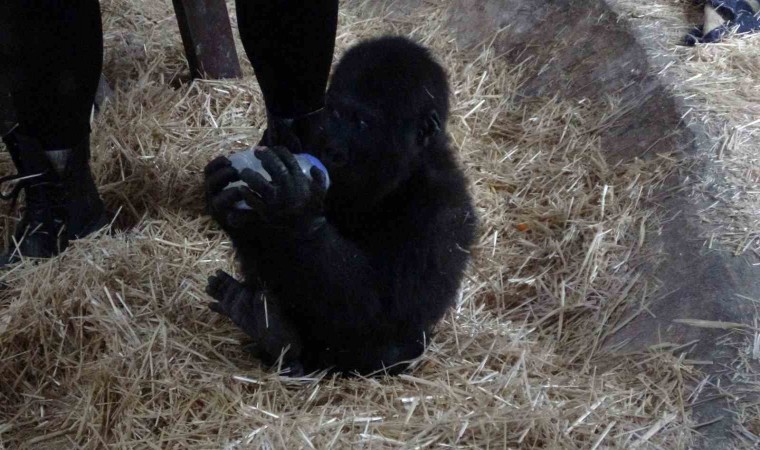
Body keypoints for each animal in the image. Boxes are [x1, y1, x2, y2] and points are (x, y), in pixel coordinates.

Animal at [202, 35, 476, 374]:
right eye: (334, 113)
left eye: (361, 122)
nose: (333, 143)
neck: (403, 173)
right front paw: (227, 204)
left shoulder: (443, 211)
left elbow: (387, 312)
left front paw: (295, 211)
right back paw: (268, 328)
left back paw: (278, 337)